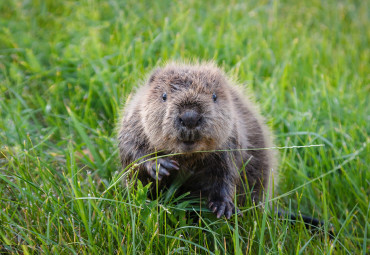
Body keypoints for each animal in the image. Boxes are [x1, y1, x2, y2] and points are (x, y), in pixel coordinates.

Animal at [117, 62, 276, 219]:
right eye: (164, 96)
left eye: (214, 96)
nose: (190, 118)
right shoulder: (135, 122)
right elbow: (131, 150)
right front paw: (161, 165)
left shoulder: (231, 139)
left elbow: (227, 173)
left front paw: (223, 206)